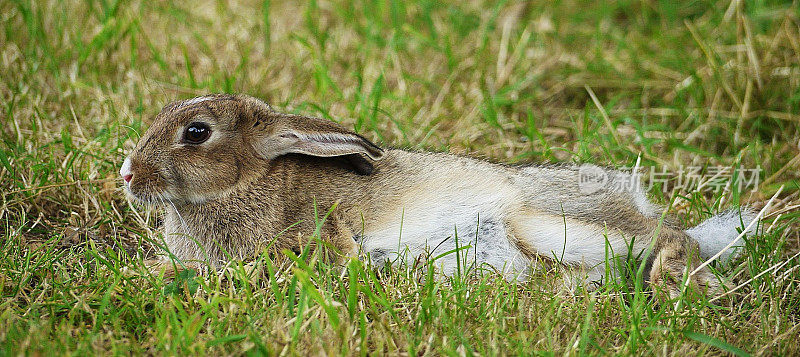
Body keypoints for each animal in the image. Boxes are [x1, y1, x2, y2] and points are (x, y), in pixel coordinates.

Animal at [122, 93, 760, 296]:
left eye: (196, 133)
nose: (127, 174)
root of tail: (631, 197)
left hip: (548, 221)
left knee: (670, 237)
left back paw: (676, 284)